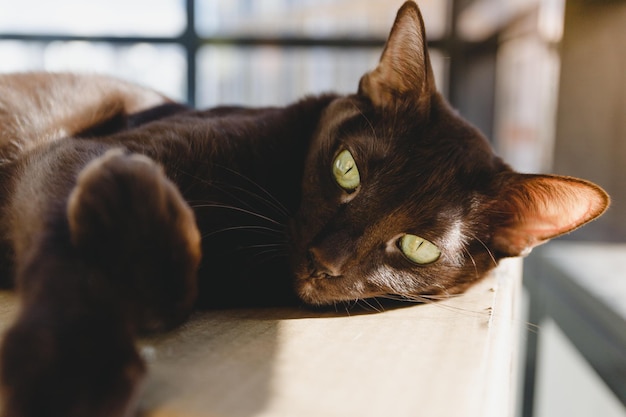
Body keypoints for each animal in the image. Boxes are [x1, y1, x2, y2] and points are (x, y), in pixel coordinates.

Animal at [0, 1, 608, 414]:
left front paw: (138, 228)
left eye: (418, 247)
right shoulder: (74, 154)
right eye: (347, 169)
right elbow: (69, 254)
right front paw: (70, 369)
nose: (327, 259)